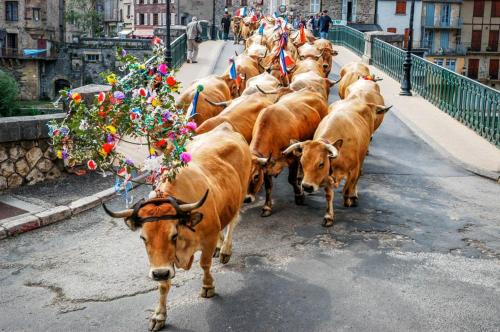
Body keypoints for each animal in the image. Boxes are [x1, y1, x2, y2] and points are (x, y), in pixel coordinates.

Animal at [102, 122, 250, 332]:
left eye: (173, 235)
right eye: (143, 238)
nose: (158, 273)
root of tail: (224, 127)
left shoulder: (208, 237)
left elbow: (204, 264)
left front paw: (208, 287)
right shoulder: (162, 262)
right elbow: (163, 284)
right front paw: (159, 315)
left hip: (241, 193)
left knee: (233, 222)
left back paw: (225, 250)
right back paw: (220, 246)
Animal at [246, 87, 328, 215]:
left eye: (256, 176)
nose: (246, 199)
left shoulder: (293, 158)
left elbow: (291, 179)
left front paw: (299, 196)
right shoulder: (267, 165)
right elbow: (268, 186)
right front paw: (267, 207)